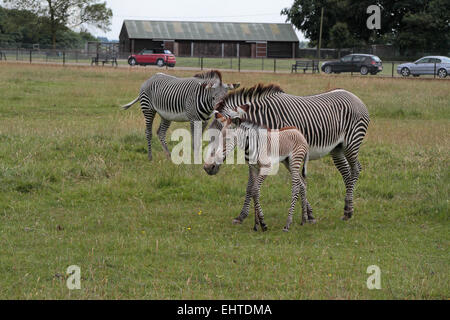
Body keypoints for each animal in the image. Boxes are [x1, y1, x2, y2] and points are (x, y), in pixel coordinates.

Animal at [206, 83, 370, 222]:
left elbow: (299, 182)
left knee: (356, 169)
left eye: (224, 138)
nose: (207, 168)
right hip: (337, 149)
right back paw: (346, 209)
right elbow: (250, 186)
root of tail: (353, 95)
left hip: (351, 143)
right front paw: (242, 216)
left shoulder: (286, 154)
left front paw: (307, 215)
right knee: (346, 172)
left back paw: (349, 210)